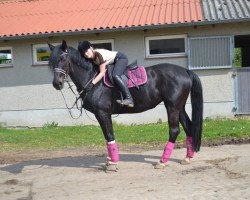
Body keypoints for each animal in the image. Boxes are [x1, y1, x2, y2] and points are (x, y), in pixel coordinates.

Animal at [48, 40, 203, 170]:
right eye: (51, 62)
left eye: (62, 58)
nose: (57, 84)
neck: (93, 79)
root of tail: (185, 71)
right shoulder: (101, 114)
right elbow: (107, 136)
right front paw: (110, 160)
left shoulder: (103, 113)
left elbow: (109, 135)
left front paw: (113, 163)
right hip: (179, 107)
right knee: (188, 127)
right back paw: (187, 158)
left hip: (172, 107)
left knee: (174, 130)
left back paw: (162, 161)